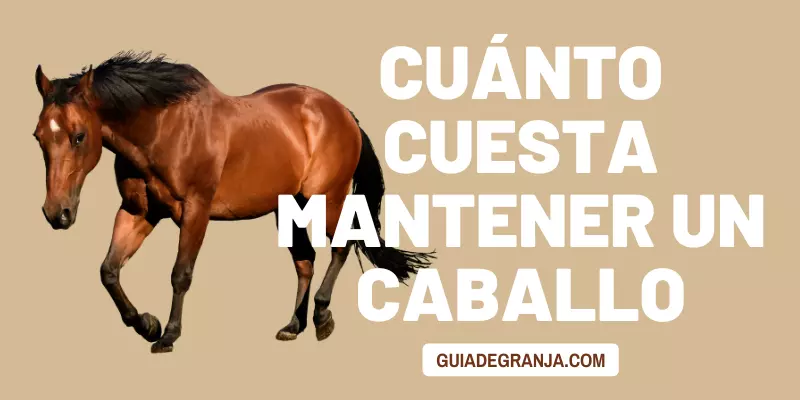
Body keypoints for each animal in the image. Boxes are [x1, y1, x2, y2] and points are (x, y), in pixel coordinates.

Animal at [31, 51, 435, 353]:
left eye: (79, 136)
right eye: (38, 136)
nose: (57, 213)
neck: (163, 128)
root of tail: (345, 114)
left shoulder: (195, 211)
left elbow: (180, 273)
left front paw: (168, 335)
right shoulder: (138, 212)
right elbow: (109, 271)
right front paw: (146, 324)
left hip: (326, 200)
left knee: (342, 245)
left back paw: (322, 317)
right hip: (289, 207)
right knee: (305, 261)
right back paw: (294, 325)